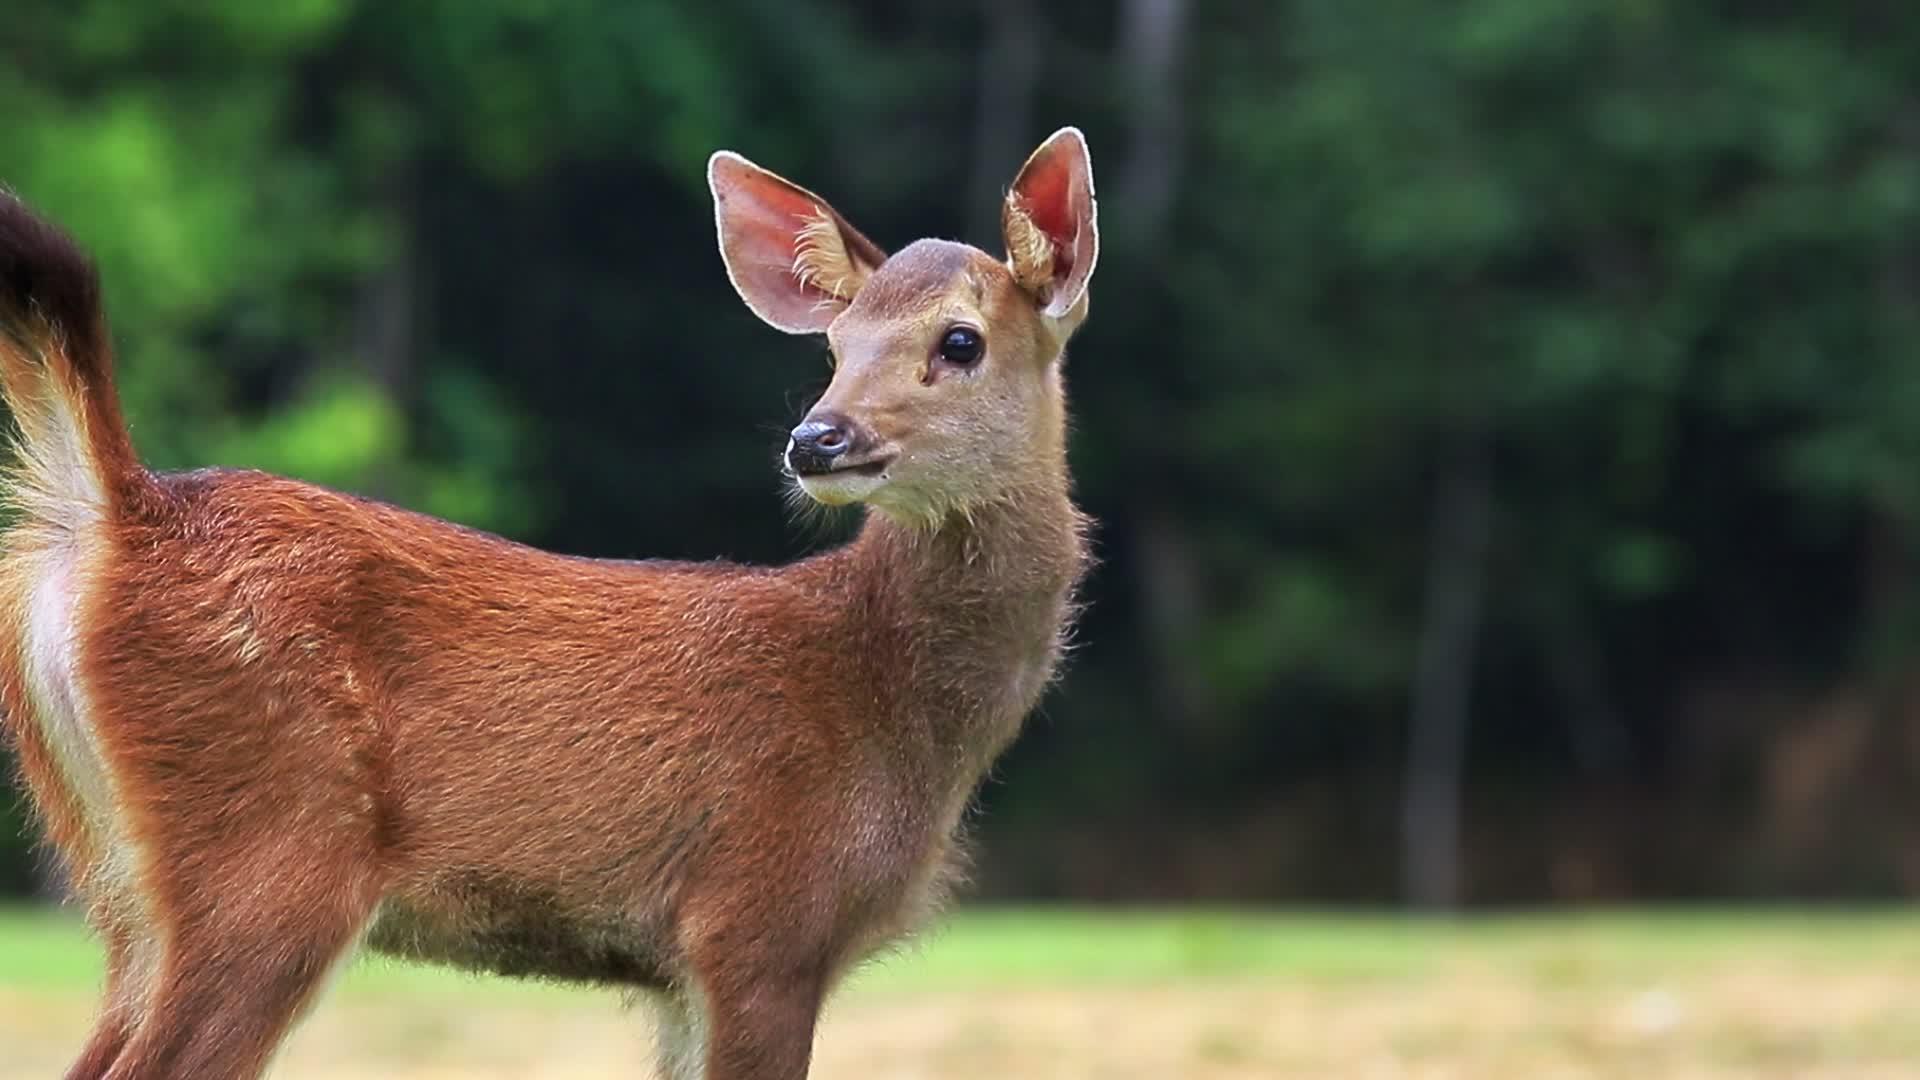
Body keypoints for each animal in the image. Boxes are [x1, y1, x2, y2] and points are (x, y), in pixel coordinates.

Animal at [0, 127, 1098, 1076]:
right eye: (834, 346)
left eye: (961, 342)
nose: (816, 440)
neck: (888, 709)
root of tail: (118, 515)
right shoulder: (759, 917)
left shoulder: (678, 970)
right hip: (269, 855)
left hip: (115, 875)